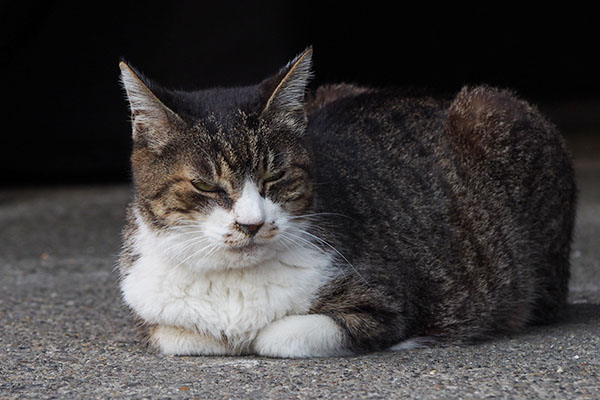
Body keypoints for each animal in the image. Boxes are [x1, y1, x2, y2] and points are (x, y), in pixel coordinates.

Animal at [116, 48, 576, 358]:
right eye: (206, 186)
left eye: (275, 176)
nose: (252, 224)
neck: (233, 281)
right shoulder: (151, 317)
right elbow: (180, 335)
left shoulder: (386, 306)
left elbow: (278, 336)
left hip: (490, 109)